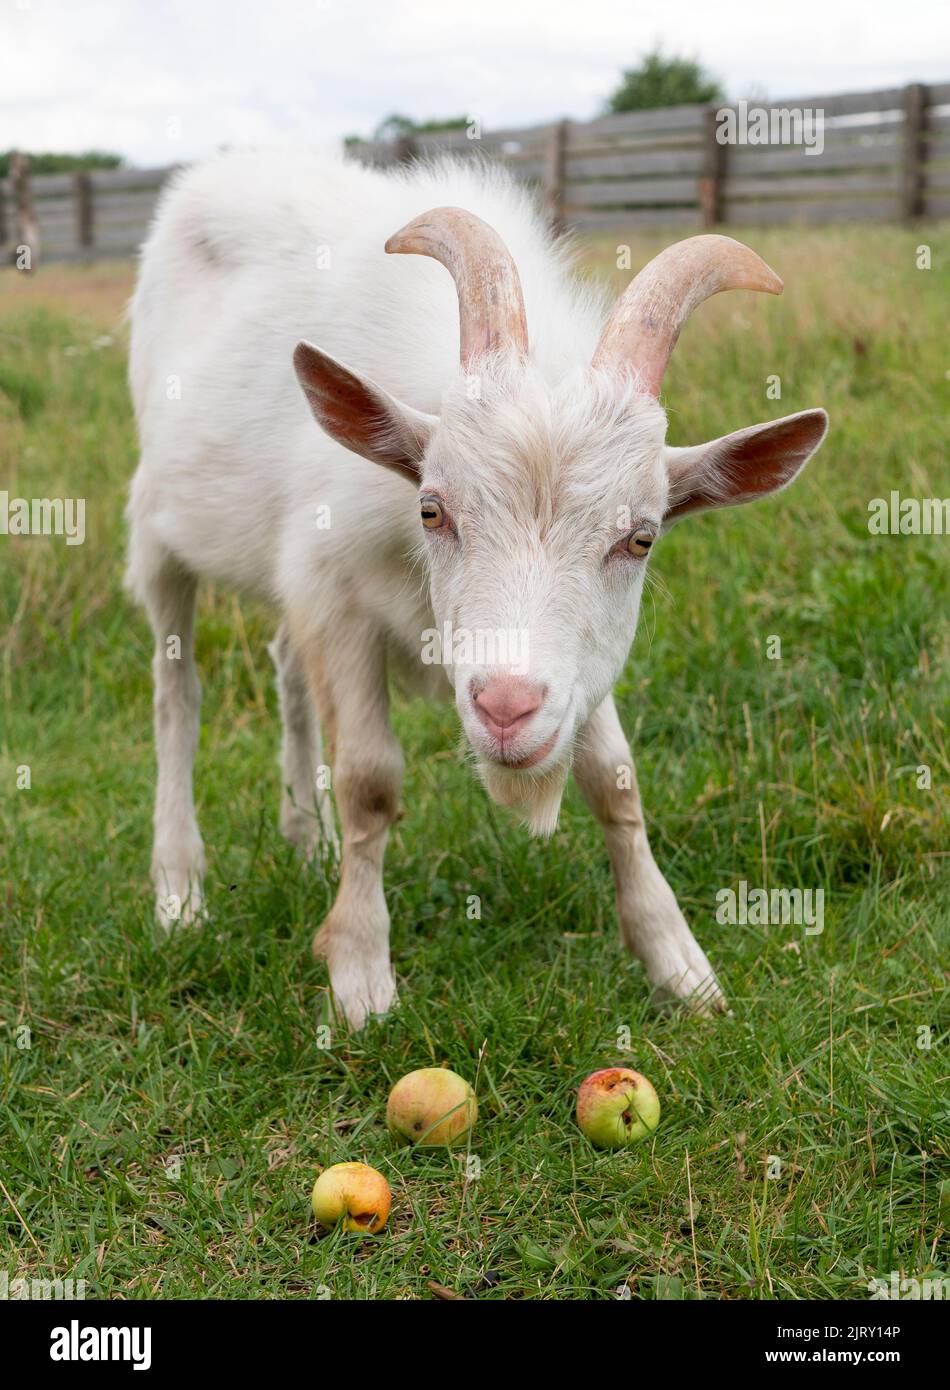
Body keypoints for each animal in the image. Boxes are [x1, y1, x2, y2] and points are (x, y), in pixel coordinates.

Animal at [126, 148, 828, 1028]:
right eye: (432, 508)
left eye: (641, 537)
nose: (504, 707)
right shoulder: (336, 596)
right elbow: (369, 782)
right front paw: (360, 975)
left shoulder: (575, 666)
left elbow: (615, 779)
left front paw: (680, 964)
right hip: (159, 531)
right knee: (174, 693)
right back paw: (179, 889)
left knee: (285, 663)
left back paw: (305, 838)